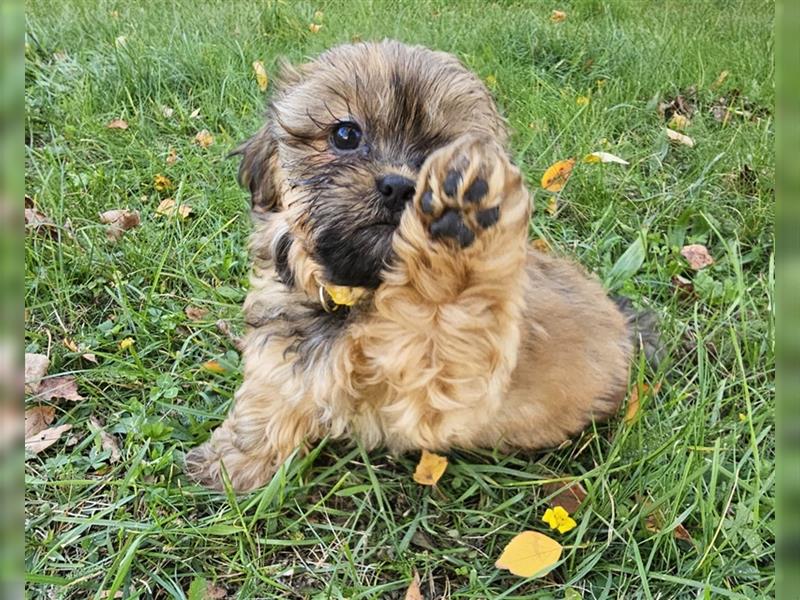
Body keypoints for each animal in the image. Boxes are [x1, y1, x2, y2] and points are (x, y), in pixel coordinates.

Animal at [186, 41, 636, 492]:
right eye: (346, 134)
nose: (399, 185)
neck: (359, 297)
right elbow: (272, 390)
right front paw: (236, 462)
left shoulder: (440, 393)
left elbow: (444, 311)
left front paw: (461, 221)